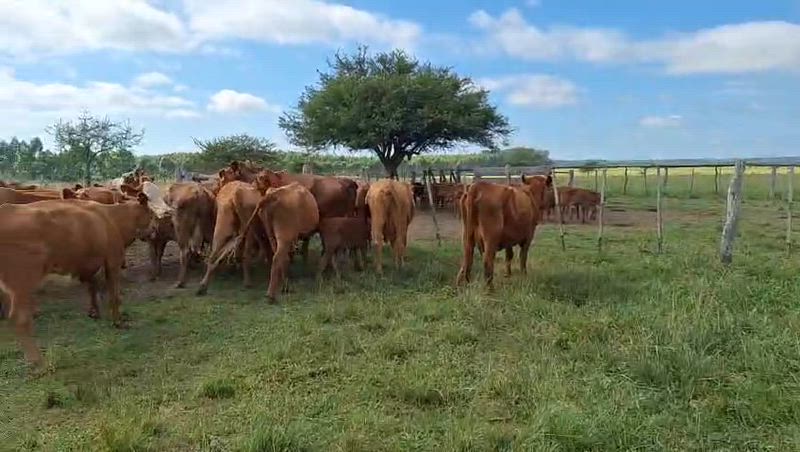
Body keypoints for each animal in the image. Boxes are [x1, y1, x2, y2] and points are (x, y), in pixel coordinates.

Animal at [0, 193, 155, 365]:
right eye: (152, 214)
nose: (154, 231)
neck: (112, 218)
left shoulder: (88, 265)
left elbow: (92, 287)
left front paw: (94, 312)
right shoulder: (112, 262)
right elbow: (114, 296)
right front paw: (118, 322)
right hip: (23, 281)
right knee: (19, 318)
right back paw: (37, 360)